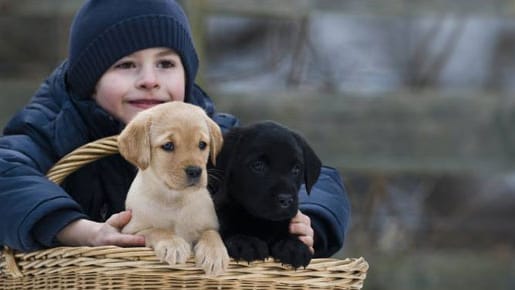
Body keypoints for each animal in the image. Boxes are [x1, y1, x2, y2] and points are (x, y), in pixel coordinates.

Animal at [120, 102, 229, 276]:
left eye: (202, 144)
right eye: (168, 145)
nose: (195, 171)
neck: (174, 199)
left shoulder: (210, 225)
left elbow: (211, 233)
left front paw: (214, 253)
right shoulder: (130, 232)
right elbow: (156, 230)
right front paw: (173, 244)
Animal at [208, 121, 320, 268]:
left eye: (296, 169)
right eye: (258, 165)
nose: (286, 200)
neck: (263, 222)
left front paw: (294, 246)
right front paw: (246, 242)